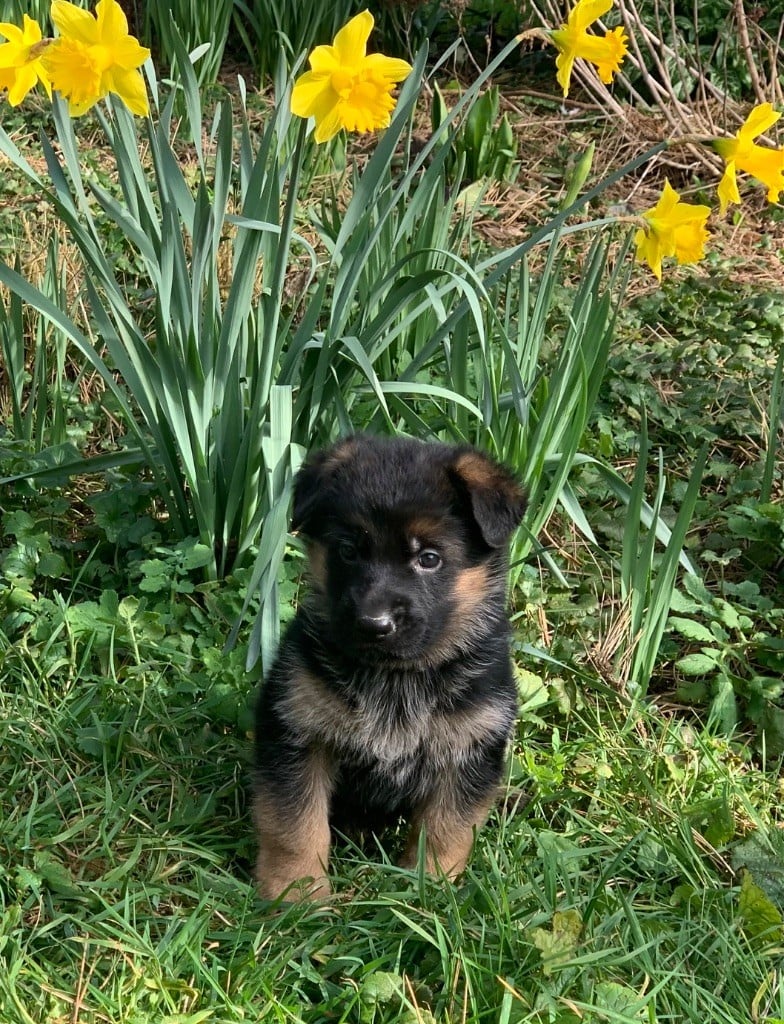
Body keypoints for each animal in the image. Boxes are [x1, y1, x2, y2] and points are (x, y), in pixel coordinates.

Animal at [254, 436, 524, 901]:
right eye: (348, 551)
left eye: (429, 558)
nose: (373, 624)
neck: (398, 676)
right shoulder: (296, 734)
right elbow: (296, 826)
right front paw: (298, 894)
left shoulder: (468, 750)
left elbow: (445, 830)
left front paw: (428, 891)